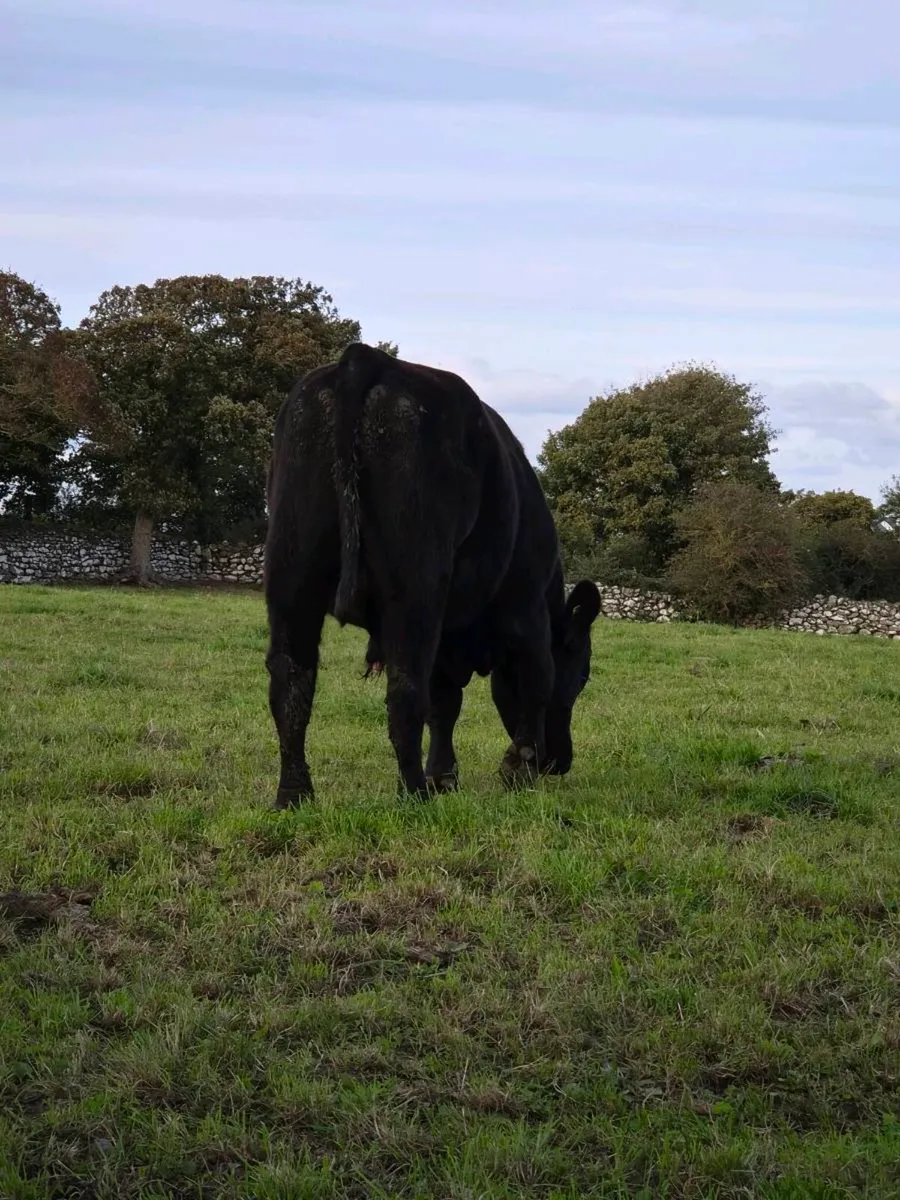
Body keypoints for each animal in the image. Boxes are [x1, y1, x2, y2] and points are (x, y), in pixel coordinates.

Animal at [263, 342, 601, 808]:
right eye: (582, 675)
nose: (560, 762)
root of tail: (366, 357)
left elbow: (446, 702)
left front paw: (444, 776)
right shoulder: (525, 605)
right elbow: (535, 679)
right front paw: (517, 769)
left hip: (294, 564)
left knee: (291, 678)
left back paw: (294, 795)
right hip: (415, 580)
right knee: (405, 688)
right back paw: (412, 793)